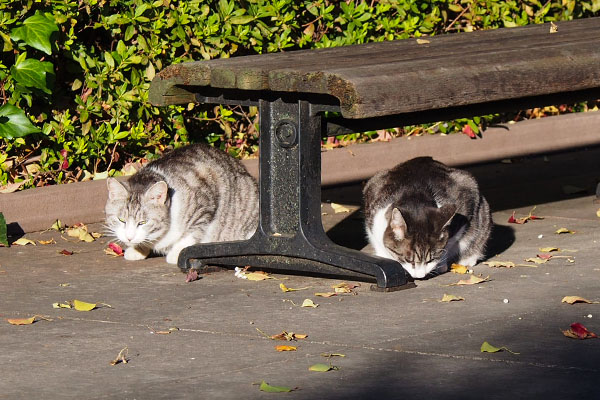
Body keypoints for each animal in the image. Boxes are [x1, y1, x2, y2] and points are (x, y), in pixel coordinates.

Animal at [105, 145, 258, 266]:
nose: (129, 238)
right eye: (121, 220)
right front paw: (137, 249)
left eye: (143, 222)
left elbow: (192, 232)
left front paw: (177, 253)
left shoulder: (204, 205)